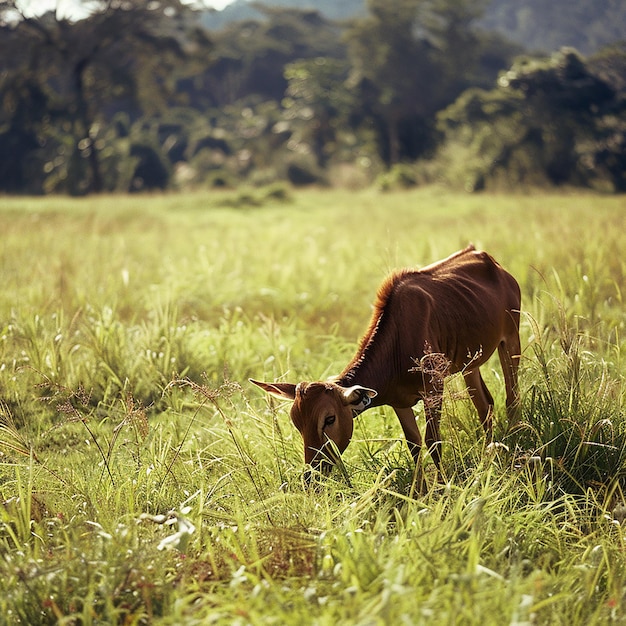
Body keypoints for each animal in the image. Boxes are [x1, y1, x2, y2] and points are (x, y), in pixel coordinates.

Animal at [251, 244, 520, 478]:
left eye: (329, 419)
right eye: (296, 422)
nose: (312, 474)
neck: (396, 346)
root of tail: (486, 258)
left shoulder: (434, 388)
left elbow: (433, 442)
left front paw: (444, 487)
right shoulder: (399, 403)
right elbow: (414, 446)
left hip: (511, 340)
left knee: (511, 397)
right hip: (469, 365)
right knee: (485, 406)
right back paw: (489, 456)